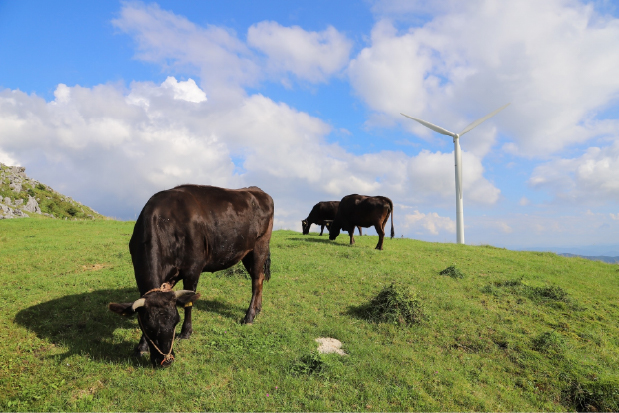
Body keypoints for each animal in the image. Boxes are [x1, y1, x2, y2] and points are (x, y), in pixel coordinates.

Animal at [109, 185, 274, 366]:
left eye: (176, 321)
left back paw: (249, 316)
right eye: (149, 327)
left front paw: (186, 332)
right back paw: (258, 309)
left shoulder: (193, 268)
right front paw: (142, 346)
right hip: (247, 252)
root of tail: (255, 190)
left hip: (260, 245)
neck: (164, 222)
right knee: (258, 279)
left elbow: (189, 302)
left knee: (256, 281)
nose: (166, 360)